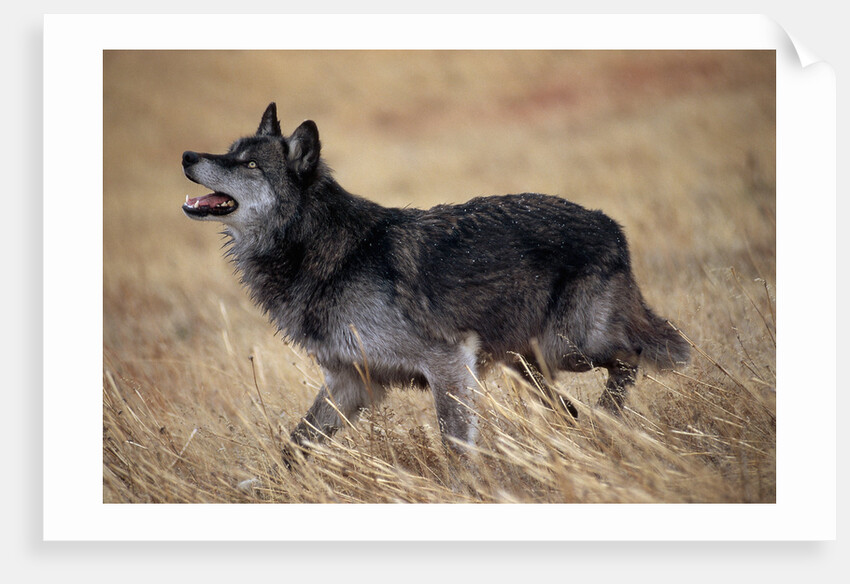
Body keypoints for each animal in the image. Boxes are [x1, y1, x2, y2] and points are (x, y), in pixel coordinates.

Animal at [182, 102, 690, 465]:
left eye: (249, 165)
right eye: (229, 151)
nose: (187, 155)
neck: (324, 248)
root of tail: (611, 225)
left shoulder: (448, 363)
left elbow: (456, 448)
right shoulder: (351, 381)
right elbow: (294, 445)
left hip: (568, 348)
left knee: (637, 354)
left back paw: (610, 419)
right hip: (528, 365)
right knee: (571, 409)